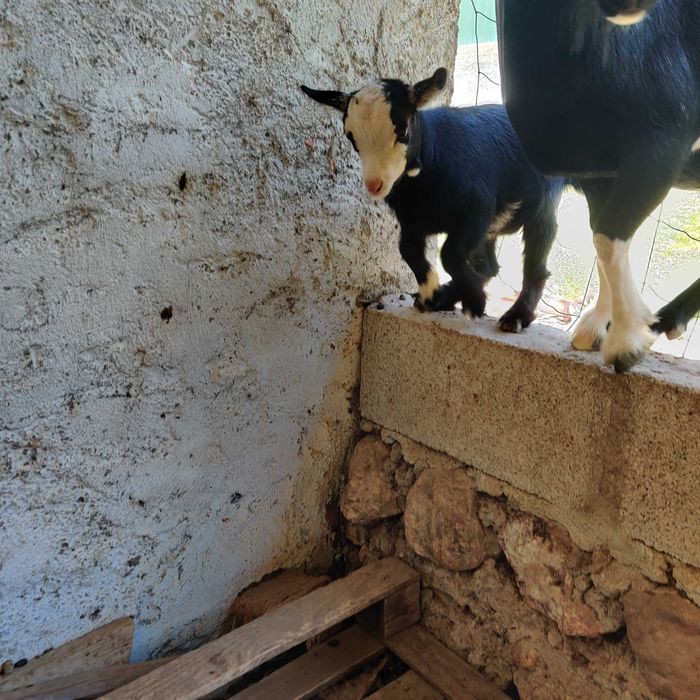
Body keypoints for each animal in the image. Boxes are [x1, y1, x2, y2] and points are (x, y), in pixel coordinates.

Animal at [301, 69, 565, 332]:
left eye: (402, 131)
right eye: (351, 138)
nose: (374, 185)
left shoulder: (477, 211)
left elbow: (449, 254)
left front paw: (475, 302)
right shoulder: (412, 222)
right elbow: (408, 250)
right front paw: (431, 294)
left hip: (543, 203)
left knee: (536, 261)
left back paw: (516, 316)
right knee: (488, 265)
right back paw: (447, 297)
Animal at [499, 0, 700, 371]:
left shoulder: (660, 147)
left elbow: (608, 237)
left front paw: (627, 341)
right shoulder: (597, 174)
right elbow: (600, 237)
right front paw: (598, 328)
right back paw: (669, 319)